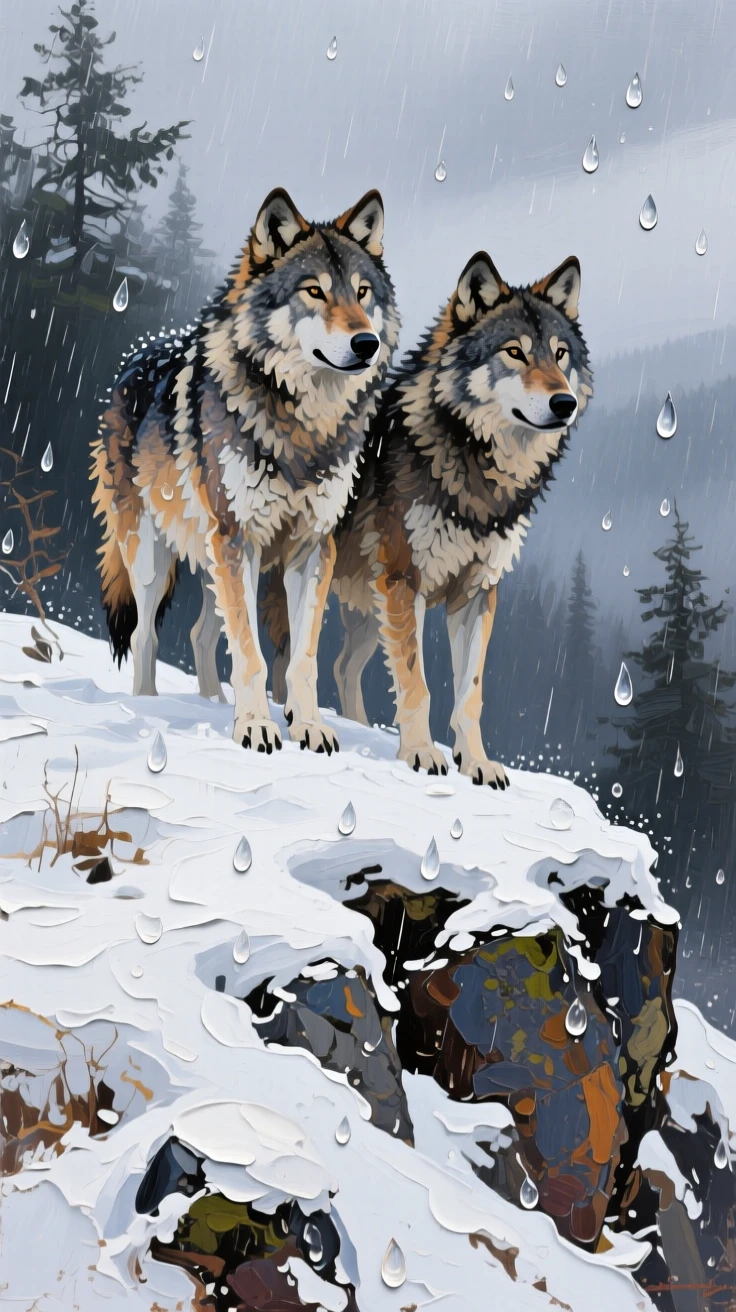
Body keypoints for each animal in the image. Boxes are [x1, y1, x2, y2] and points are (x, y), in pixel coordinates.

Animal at [91, 187, 400, 754]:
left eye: (363, 292)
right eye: (314, 291)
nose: (366, 343)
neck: (303, 428)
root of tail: (133, 360)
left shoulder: (312, 547)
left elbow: (301, 657)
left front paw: (308, 726)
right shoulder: (239, 540)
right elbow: (253, 654)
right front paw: (255, 726)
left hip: (213, 560)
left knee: (199, 634)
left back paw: (211, 702)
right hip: (152, 557)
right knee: (146, 633)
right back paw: (149, 706)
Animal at [266, 249, 592, 785]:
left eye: (560, 354)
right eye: (515, 353)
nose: (564, 402)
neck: (476, 468)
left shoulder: (477, 593)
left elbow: (470, 694)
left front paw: (476, 763)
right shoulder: (405, 582)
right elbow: (417, 682)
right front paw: (420, 753)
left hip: (364, 607)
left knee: (342, 666)